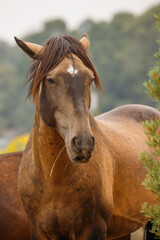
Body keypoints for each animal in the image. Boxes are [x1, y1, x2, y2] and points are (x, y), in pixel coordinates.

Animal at [14, 34, 159, 240]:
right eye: (50, 80)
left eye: (90, 78)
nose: (83, 143)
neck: (54, 180)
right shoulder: (39, 231)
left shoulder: (93, 228)